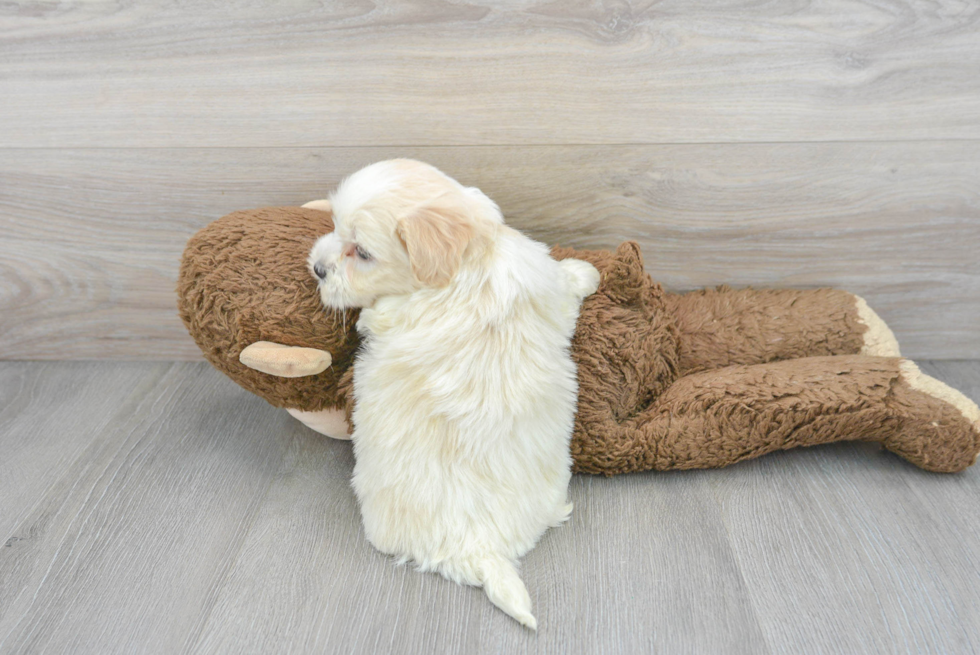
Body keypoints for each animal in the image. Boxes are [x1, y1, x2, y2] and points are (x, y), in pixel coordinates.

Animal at [308, 160, 596, 632]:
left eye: (362, 253)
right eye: (334, 225)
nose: (316, 268)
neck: (462, 269)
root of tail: (480, 548)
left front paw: (585, 272)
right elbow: (561, 286)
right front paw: (584, 272)